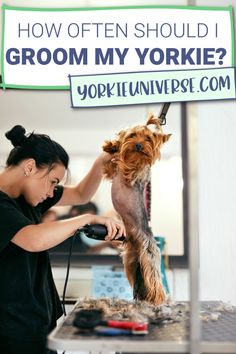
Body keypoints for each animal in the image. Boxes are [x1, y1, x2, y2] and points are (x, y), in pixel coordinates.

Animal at [102, 115, 171, 306]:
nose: (139, 145)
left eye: (148, 138)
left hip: (149, 255)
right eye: (132, 135)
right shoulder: (111, 171)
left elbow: (127, 165)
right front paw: (112, 145)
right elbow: (110, 166)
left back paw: (158, 299)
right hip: (131, 261)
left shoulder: (135, 172)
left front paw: (118, 154)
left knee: (154, 279)